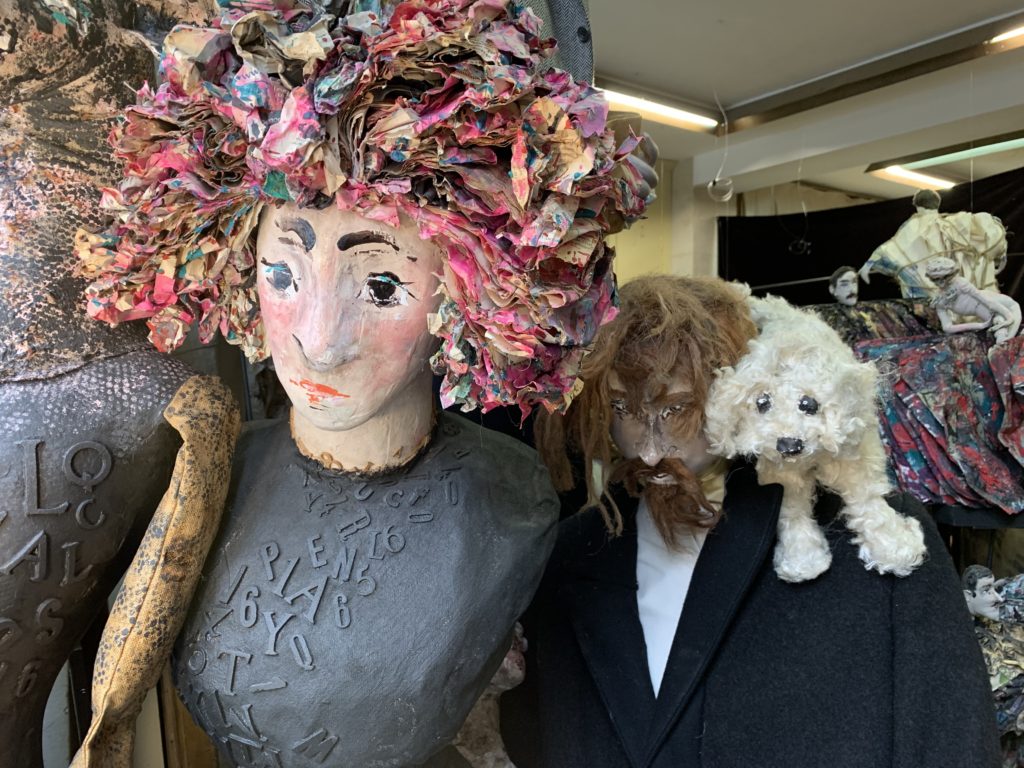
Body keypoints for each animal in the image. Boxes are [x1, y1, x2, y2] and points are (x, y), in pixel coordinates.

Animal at [704, 294, 929, 581]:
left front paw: (894, 546)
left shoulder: (853, 455)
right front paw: (802, 558)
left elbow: (866, 497)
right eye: (762, 402)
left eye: (808, 404)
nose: (789, 445)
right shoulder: (781, 471)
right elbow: (791, 507)